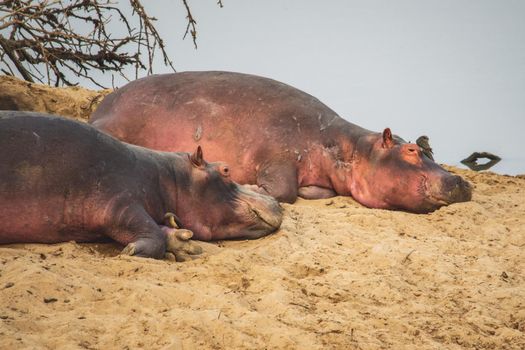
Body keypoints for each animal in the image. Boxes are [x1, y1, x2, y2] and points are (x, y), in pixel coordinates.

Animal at [0, 112, 282, 260]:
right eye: (225, 170)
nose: (276, 202)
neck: (167, 177)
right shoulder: (118, 198)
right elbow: (148, 232)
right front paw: (132, 250)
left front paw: (183, 241)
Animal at [90, 71, 470, 213]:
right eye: (412, 150)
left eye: (429, 148)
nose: (461, 180)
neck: (349, 147)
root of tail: (100, 110)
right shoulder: (278, 154)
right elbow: (283, 190)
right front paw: (254, 188)